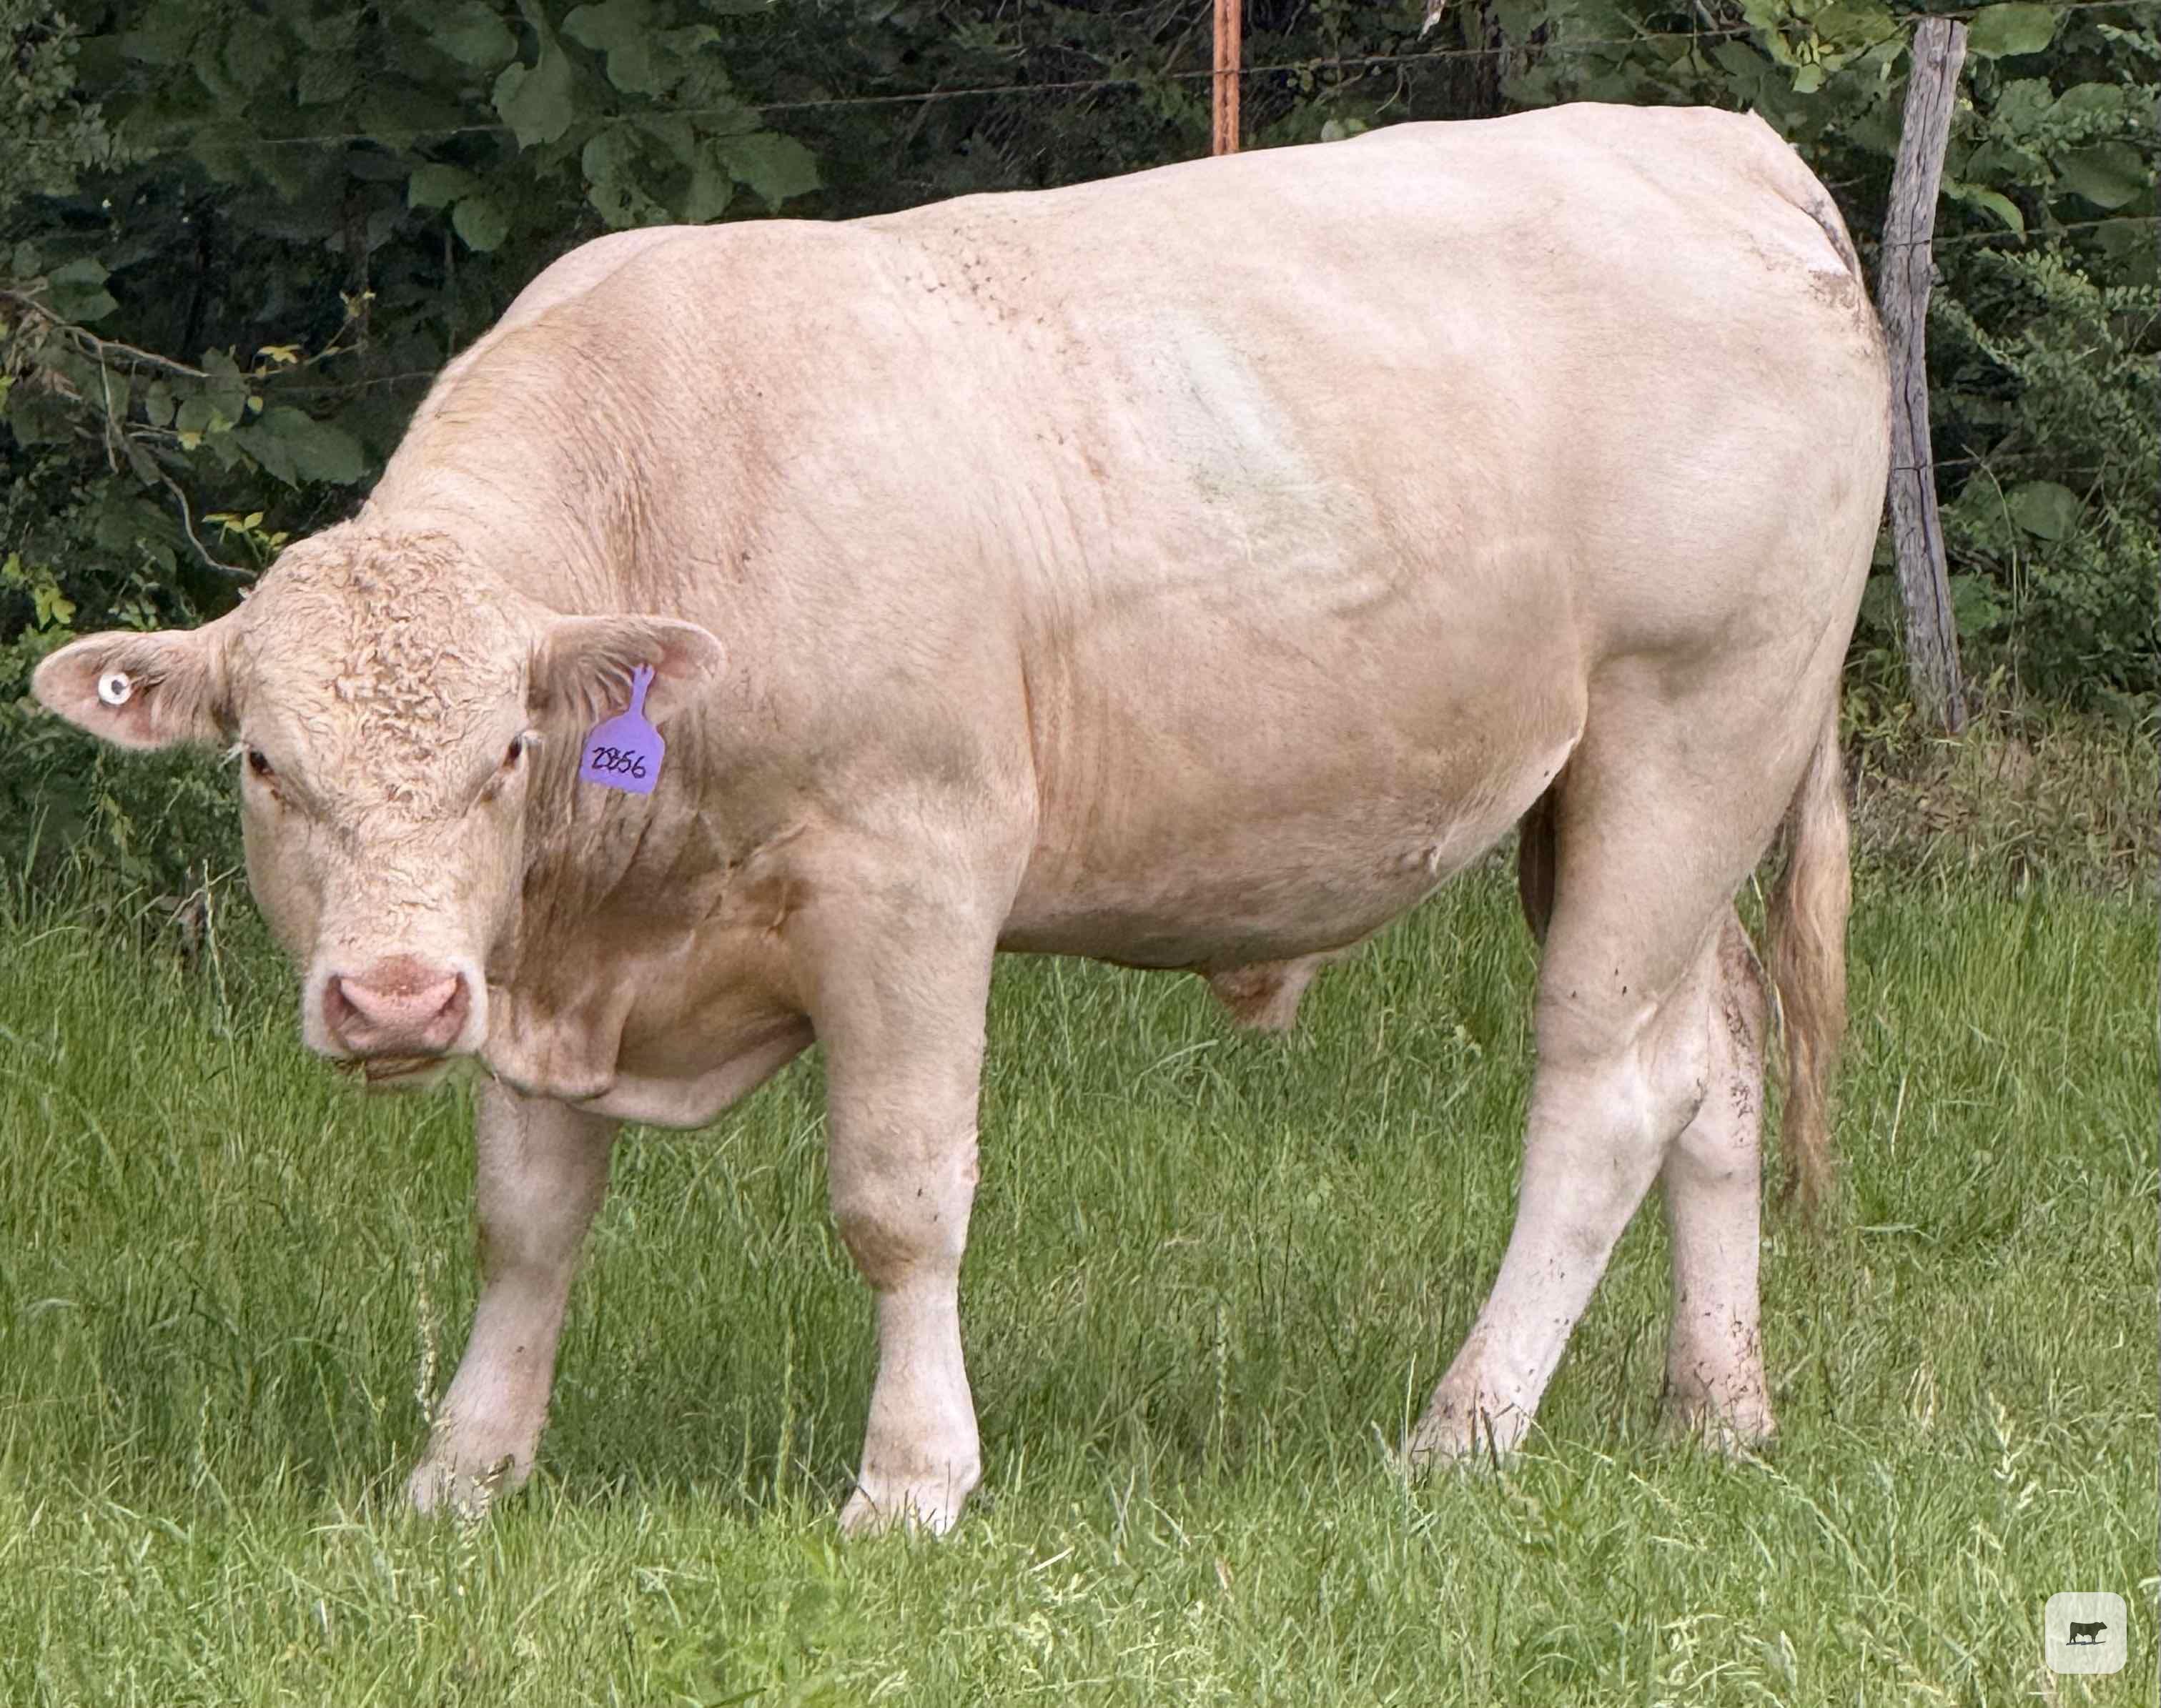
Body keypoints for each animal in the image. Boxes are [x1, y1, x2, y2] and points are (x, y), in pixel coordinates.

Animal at [34, 103, 1887, 1533]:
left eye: (503, 750)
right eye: (264, 764)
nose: (396, 1000)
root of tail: (1707, 142)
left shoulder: (911, 876)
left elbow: (896, 1195)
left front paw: (913, 1479)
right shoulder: (543, 959)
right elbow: (525, 1218)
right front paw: (465, 1472)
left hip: (1687, 724)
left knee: (1605, 1086)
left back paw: (1464, 1426)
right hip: (1627, 790)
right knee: (1713, 1056)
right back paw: (1713, 1407)